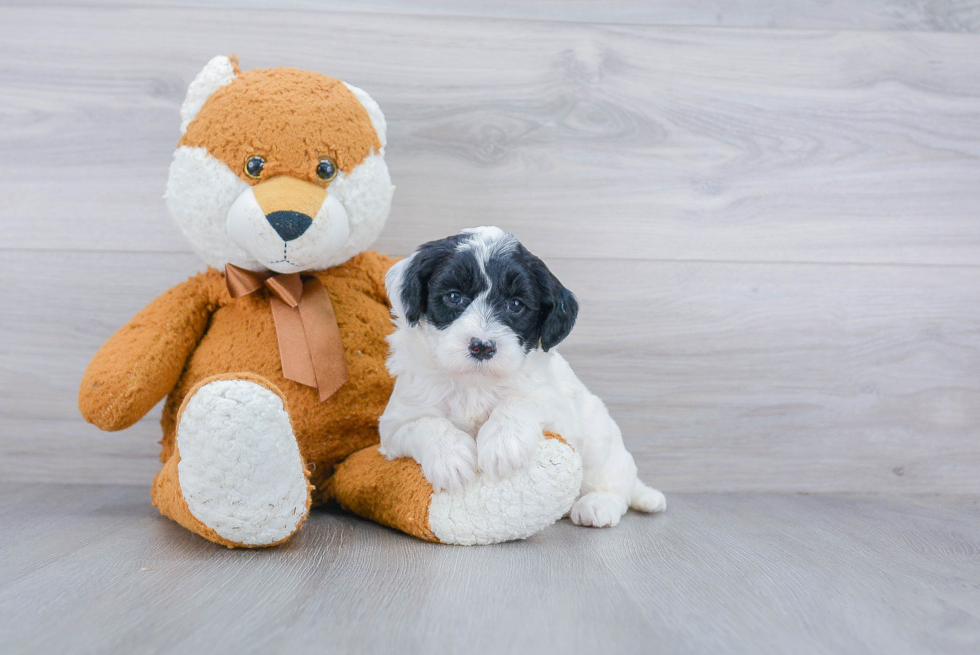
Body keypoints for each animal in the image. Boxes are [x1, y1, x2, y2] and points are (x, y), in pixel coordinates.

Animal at [378, 226, 668, 528]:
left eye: (515, 304)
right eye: (454, 297)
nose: (482, 346)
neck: (474, 383)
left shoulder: (559, 412)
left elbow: (521, 401)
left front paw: (503, 442)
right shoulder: (394, 425)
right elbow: (425, 423)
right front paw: (450, 457)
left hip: (600, 440)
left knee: (615, 484)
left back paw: (598, 504)